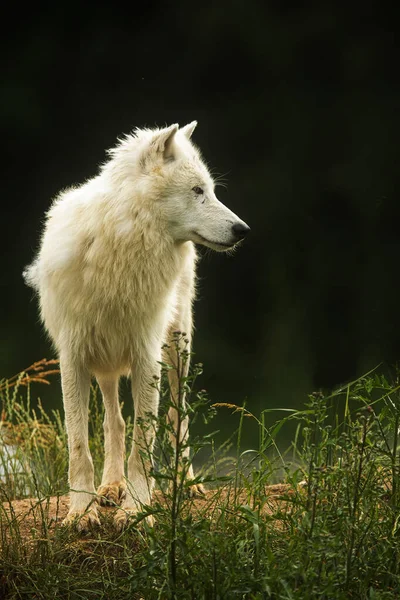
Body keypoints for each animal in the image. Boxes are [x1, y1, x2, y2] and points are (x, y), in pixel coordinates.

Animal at [23, 122, 248, 528]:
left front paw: (137, 511)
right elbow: (80, 445)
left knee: (178, 416)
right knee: (116, 423)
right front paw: (81, 513)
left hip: (177, 349)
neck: (122, 246)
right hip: (106, 363)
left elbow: (144, 446)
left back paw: (183, 482)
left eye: (211, 190)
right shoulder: (73, 358)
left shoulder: (147, 357)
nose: (243, 229)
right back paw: (110, 487)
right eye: (198, 191)